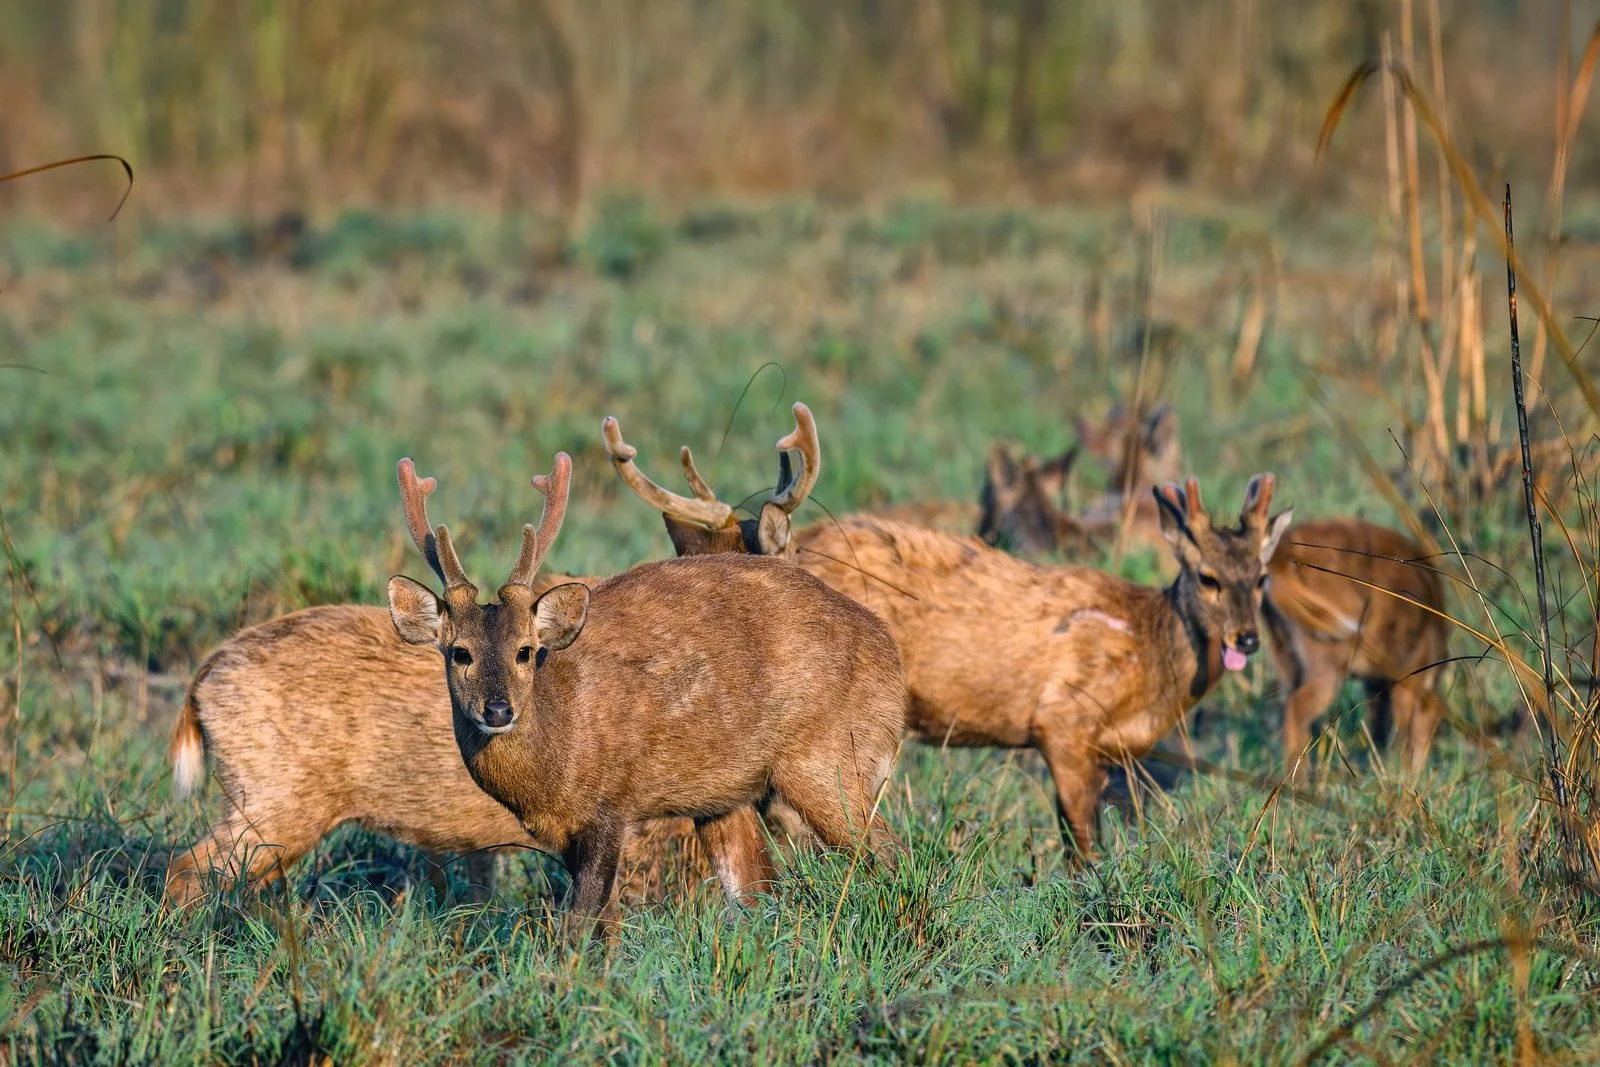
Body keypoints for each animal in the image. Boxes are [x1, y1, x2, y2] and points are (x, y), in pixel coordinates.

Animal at [385, 452, 905, 941]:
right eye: (460, 652)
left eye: (526, 651)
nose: (497, 710)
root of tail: (891, 658)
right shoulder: (569, 833)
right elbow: (608, 924)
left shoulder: (610, 805)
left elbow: (580, 923)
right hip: (726, 797)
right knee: (757, 893)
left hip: (830, 758)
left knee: (889, 856)